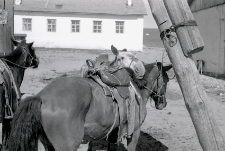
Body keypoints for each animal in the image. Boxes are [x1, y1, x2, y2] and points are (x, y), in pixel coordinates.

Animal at [7, 47, 172, 150]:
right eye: (167, 79)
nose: (163, 104)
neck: (136, 86)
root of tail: (41, 97)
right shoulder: (134, 132)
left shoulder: (113, 134)